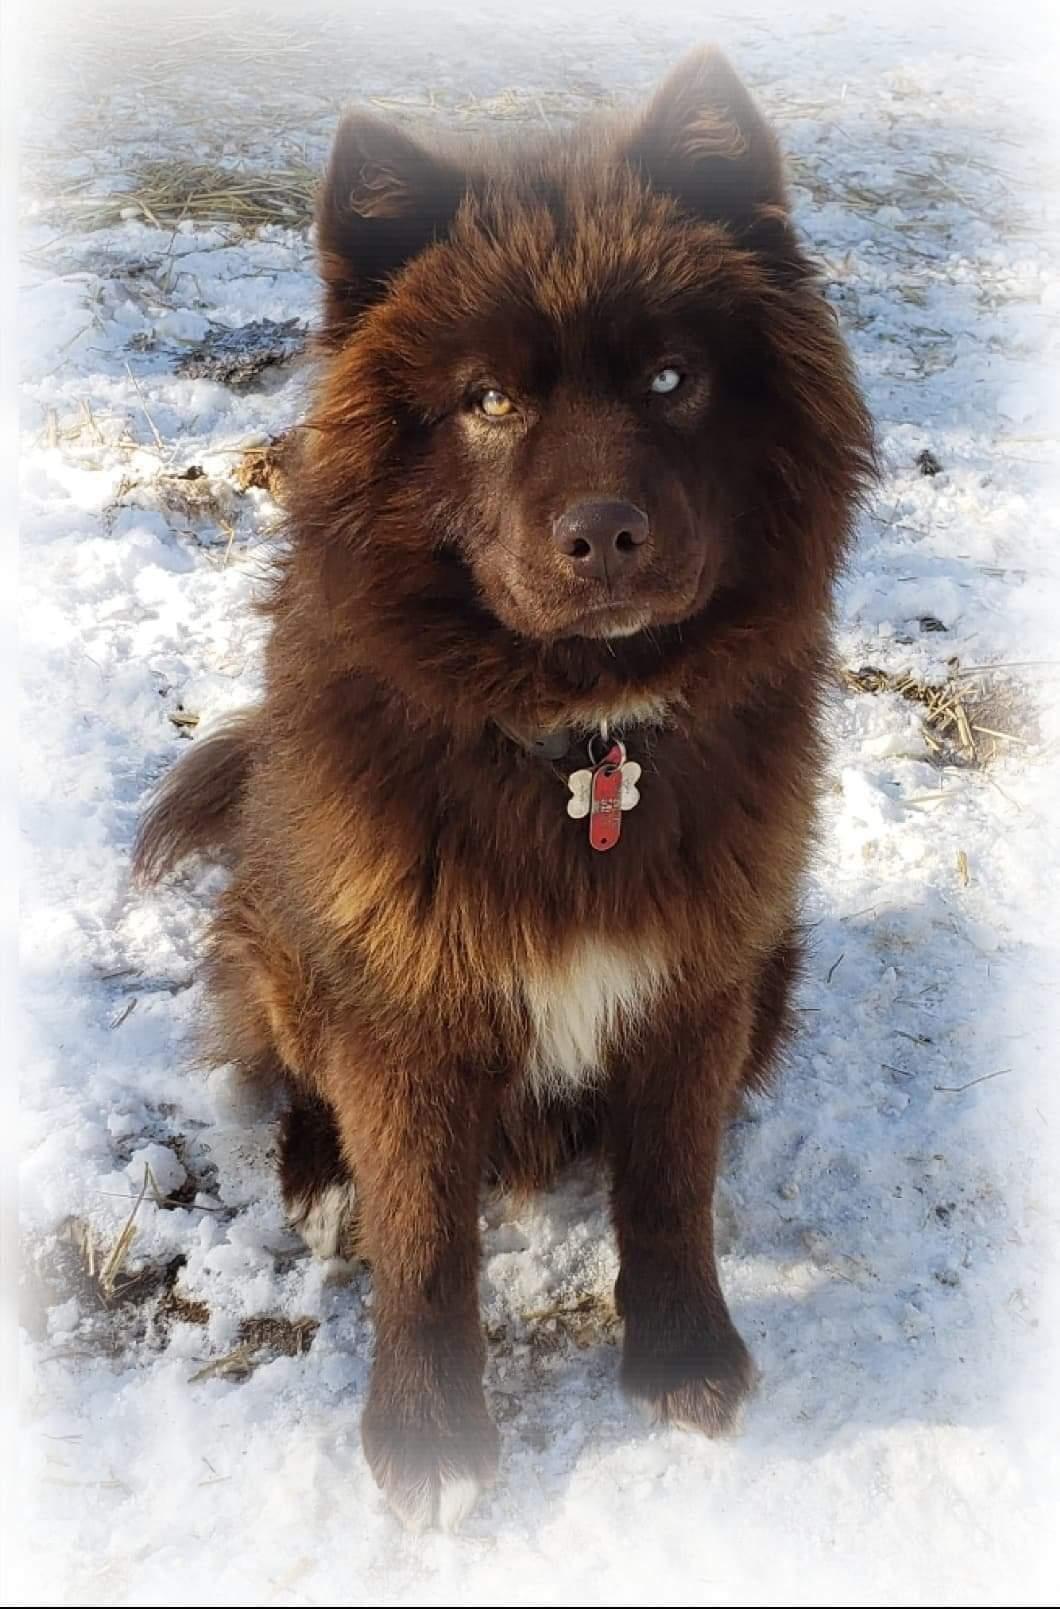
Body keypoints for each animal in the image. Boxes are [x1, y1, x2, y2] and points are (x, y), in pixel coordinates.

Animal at [135, 46, 873, 1532]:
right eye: (487, 402)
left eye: (669, 376)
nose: (603, 535)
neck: (584, 751)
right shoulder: (410, 1006)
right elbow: (427, 1235)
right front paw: (427, 1439)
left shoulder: (691, 985)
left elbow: (670, 1189)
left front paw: (683, 1358)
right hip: (288, 941)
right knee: (293, 1076)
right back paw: (319, 1172)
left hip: (770, 971)